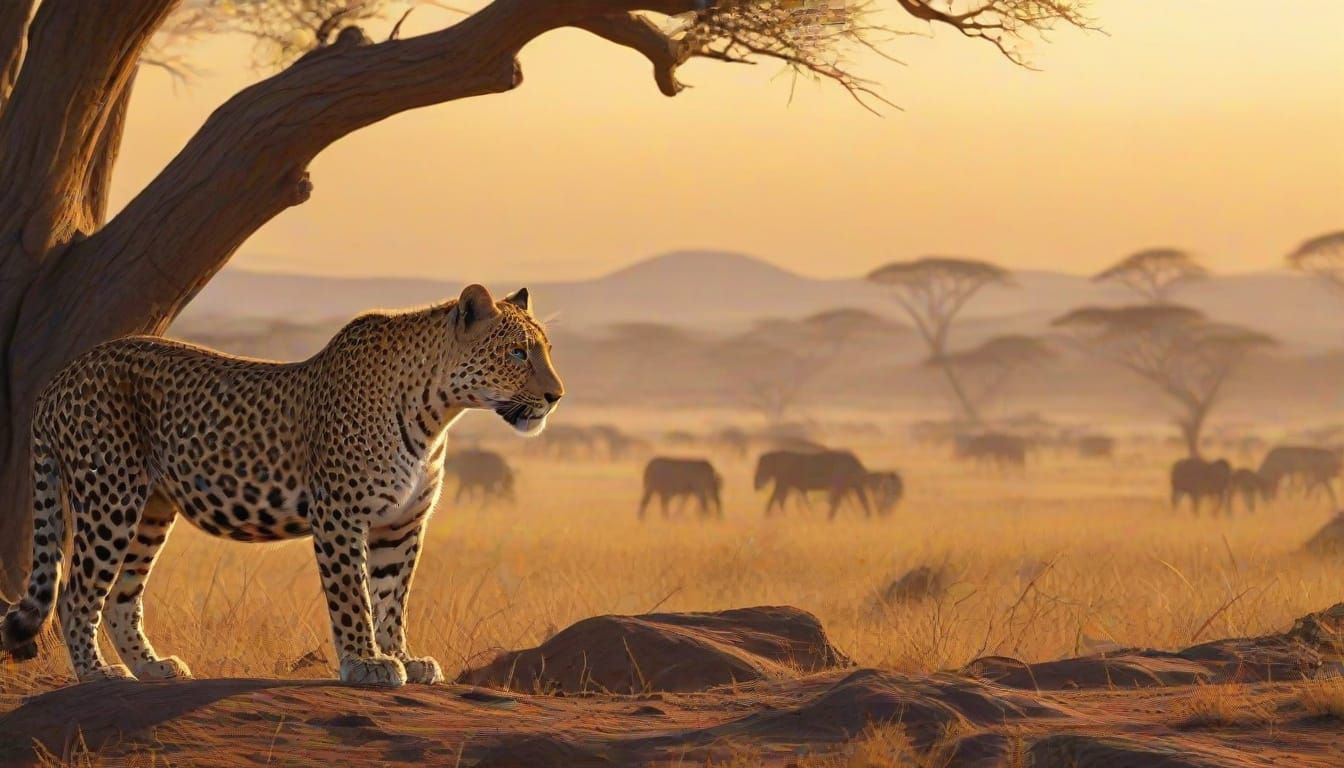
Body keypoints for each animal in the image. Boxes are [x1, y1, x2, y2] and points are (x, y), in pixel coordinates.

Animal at [1, 284, 562, 687]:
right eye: (517, 354)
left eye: (547, 350)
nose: (556, 396)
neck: (436, 413)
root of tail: (60, 377)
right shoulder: (340, 514)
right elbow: (352, 596)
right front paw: (365, 663)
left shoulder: (402, 524)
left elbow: (392, 597)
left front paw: (403, 656)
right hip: (109, 499)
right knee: (76, 592)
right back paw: (99, 674)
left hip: (150, 512)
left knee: (120, 595)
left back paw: (152, 667)